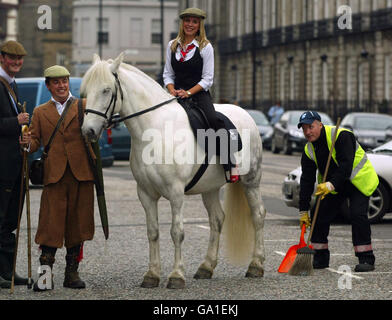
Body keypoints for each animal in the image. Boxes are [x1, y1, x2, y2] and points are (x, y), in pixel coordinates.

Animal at [81, 53, 268, 290]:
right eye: (86, 91)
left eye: (106, 90)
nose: (88, 131)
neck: (154, 131)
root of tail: (246, 114)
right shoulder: (145, 194)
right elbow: (153, 231)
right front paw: (152, 274)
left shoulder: (176, 192)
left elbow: (176, 232)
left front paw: (177, 275)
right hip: (209, 188)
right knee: (217, 219)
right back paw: (206, 267)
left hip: (251, 181)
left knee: (258, 215)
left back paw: (256, 265)